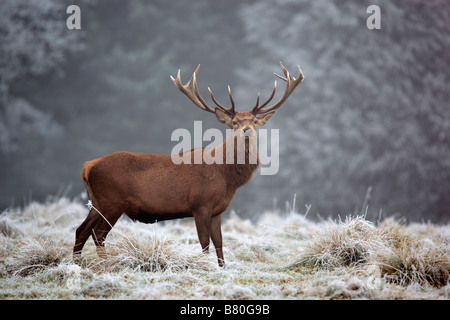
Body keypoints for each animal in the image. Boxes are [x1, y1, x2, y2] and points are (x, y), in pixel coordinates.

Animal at [74, 61, 304, 266]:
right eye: (234, 122)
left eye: (255, 121)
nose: (247, 130)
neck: (226, 176)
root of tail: (87, 166)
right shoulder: (199, 204)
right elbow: (204, 243)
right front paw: (204, 266)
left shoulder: (218, 210)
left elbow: (219, 243)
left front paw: (222, 269)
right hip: (113, 201)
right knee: (98, 234)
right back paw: (105, 264)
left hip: (97, 202)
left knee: (81, 230)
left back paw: (76, 263)